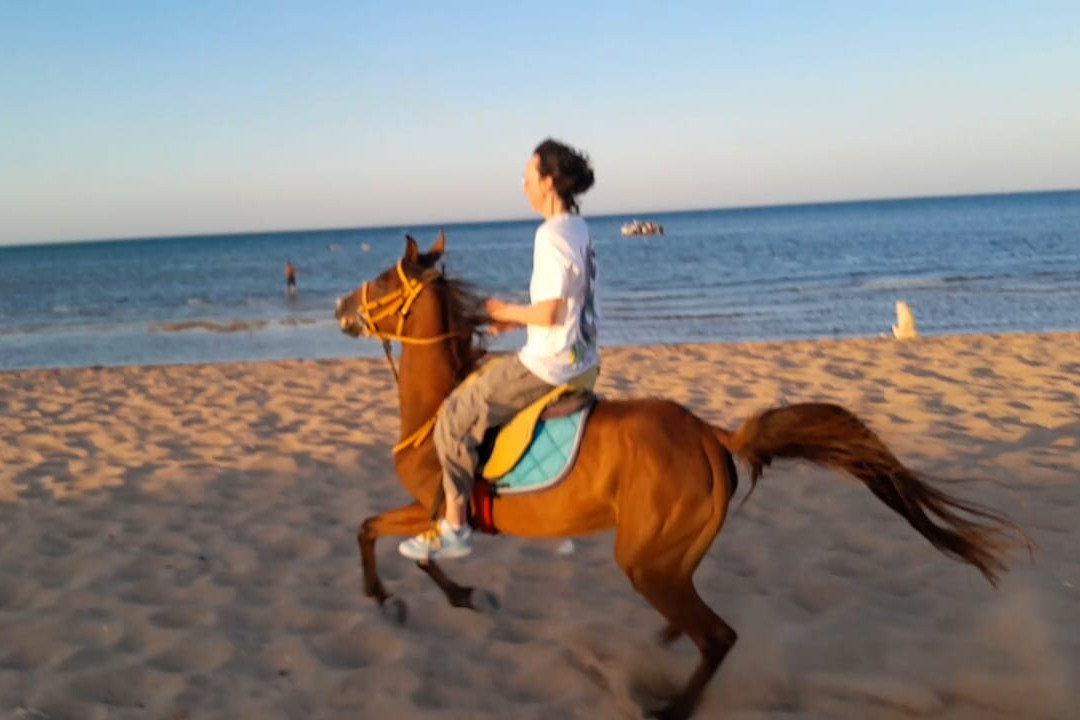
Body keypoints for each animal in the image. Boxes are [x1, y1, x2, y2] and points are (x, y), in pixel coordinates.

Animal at [334, 231, 1028, 720]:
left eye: (380, 280)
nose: (340, 305)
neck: (438, 402)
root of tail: (710, 434)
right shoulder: (428, 508)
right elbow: (389, 537)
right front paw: (457, 596)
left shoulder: (434, 503)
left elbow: (381, 532)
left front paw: (394, 597)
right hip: (669, 555)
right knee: (695, 623)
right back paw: (664, 651)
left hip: (646, 564)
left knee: (717, 636)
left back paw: (670, 706)